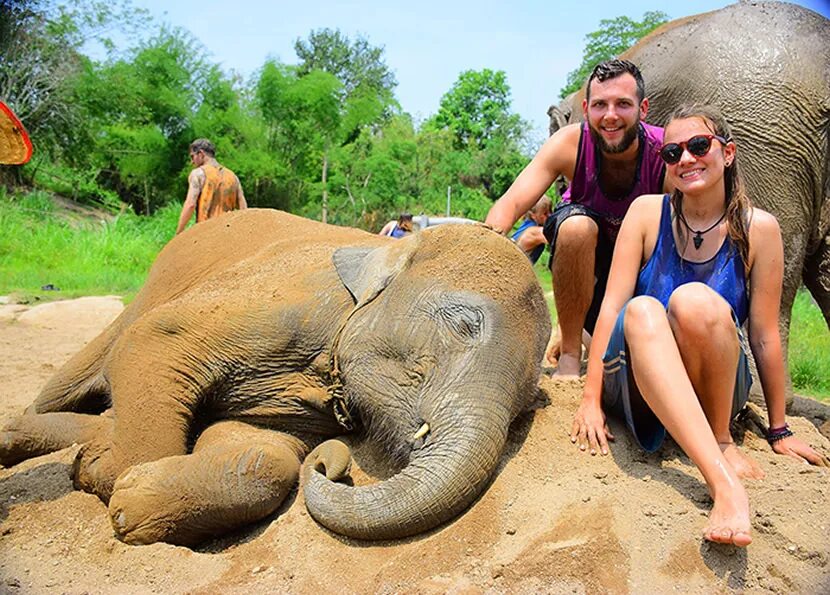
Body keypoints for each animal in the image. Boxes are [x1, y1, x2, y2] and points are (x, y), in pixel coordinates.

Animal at [0, 208, 552, 544]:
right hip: (147, 290)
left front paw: (131, 500)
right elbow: (154, 342)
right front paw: (102, 471)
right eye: (463, 325)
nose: (331, 465)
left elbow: (263, 454)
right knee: (73, 379)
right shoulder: (279, 298)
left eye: (526, 405)